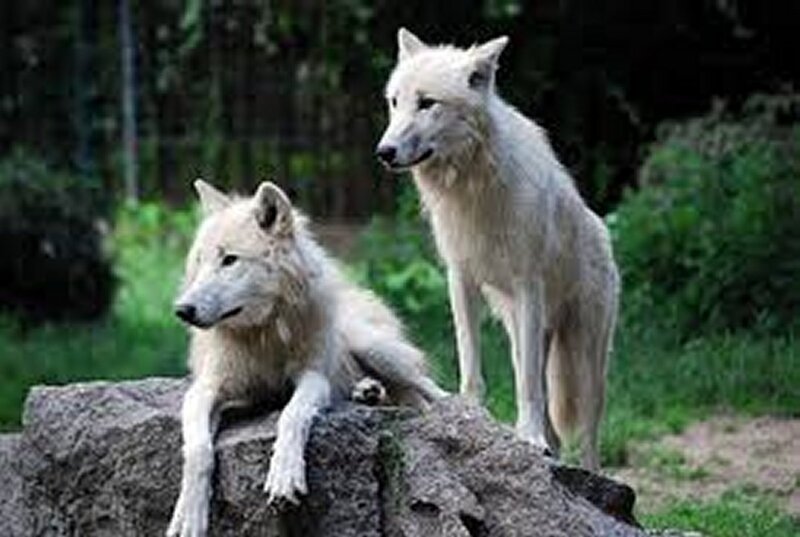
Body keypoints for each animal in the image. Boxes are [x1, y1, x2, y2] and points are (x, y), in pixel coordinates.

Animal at [166, 180, 445, 537]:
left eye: (230, 260)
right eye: (199, 261)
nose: (182, 310)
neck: (263, 335)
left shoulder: (313, 377)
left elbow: (291, 415)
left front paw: (284, 475)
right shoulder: (206, 389)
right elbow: (198, 449)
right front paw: (189, 513)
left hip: (376, 349)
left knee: (431, 389)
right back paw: (367, 391)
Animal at [376, 29, 620, 470]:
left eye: (427, 103)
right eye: (394, 102)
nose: (383, 153)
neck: (471, 186)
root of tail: (601, 228)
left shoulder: (528, 285)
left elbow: (527, 389)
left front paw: (529, 438)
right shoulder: (460, 279)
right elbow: (471, 363)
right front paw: (471, 417)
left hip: (586, 357)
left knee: (589, 433)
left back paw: (590, 474)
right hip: (521, 331)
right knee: (554, 418)